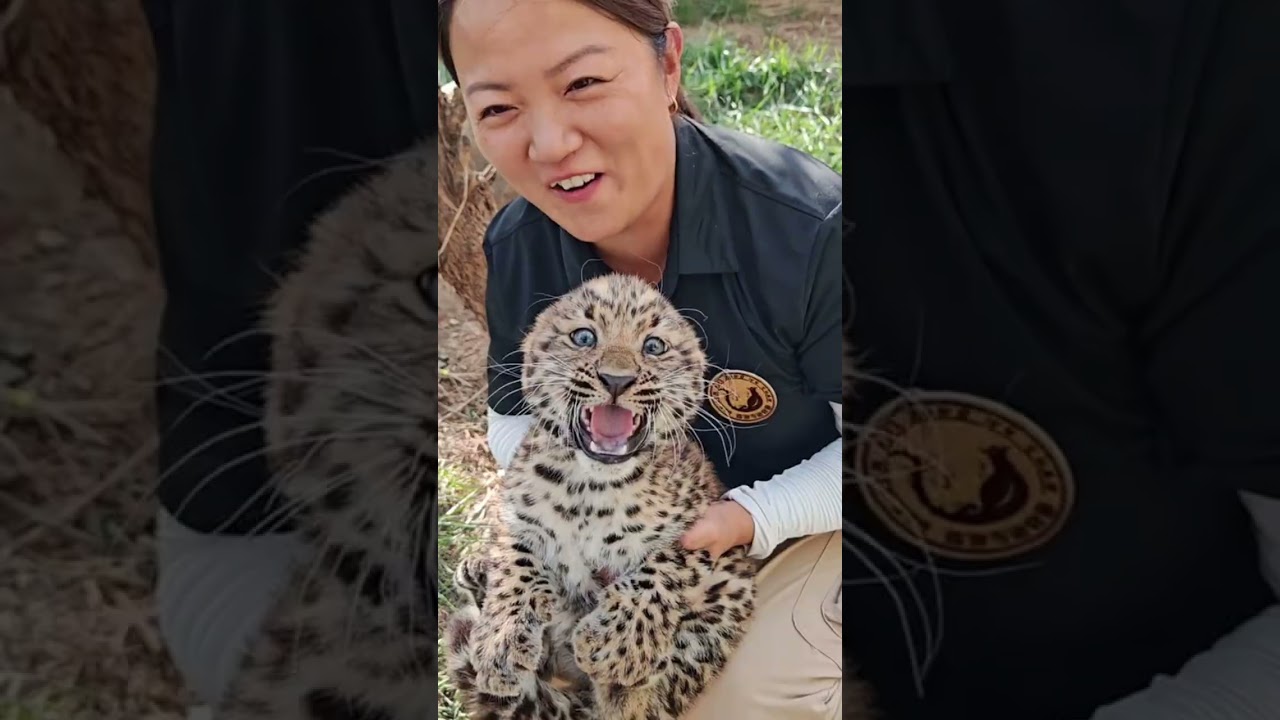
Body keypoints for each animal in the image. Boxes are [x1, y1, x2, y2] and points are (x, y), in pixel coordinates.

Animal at [443, 272, 761, 720]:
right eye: (584, 337)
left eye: (654, 346)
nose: (616, 380)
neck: (589, 489)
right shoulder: (518, 507)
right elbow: (517, 561)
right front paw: (499, 644)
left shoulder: (705, 517)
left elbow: (665, 564)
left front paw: (616, 638)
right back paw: (477, 576)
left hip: (721, 610)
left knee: (639, 701)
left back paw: (624, 673)